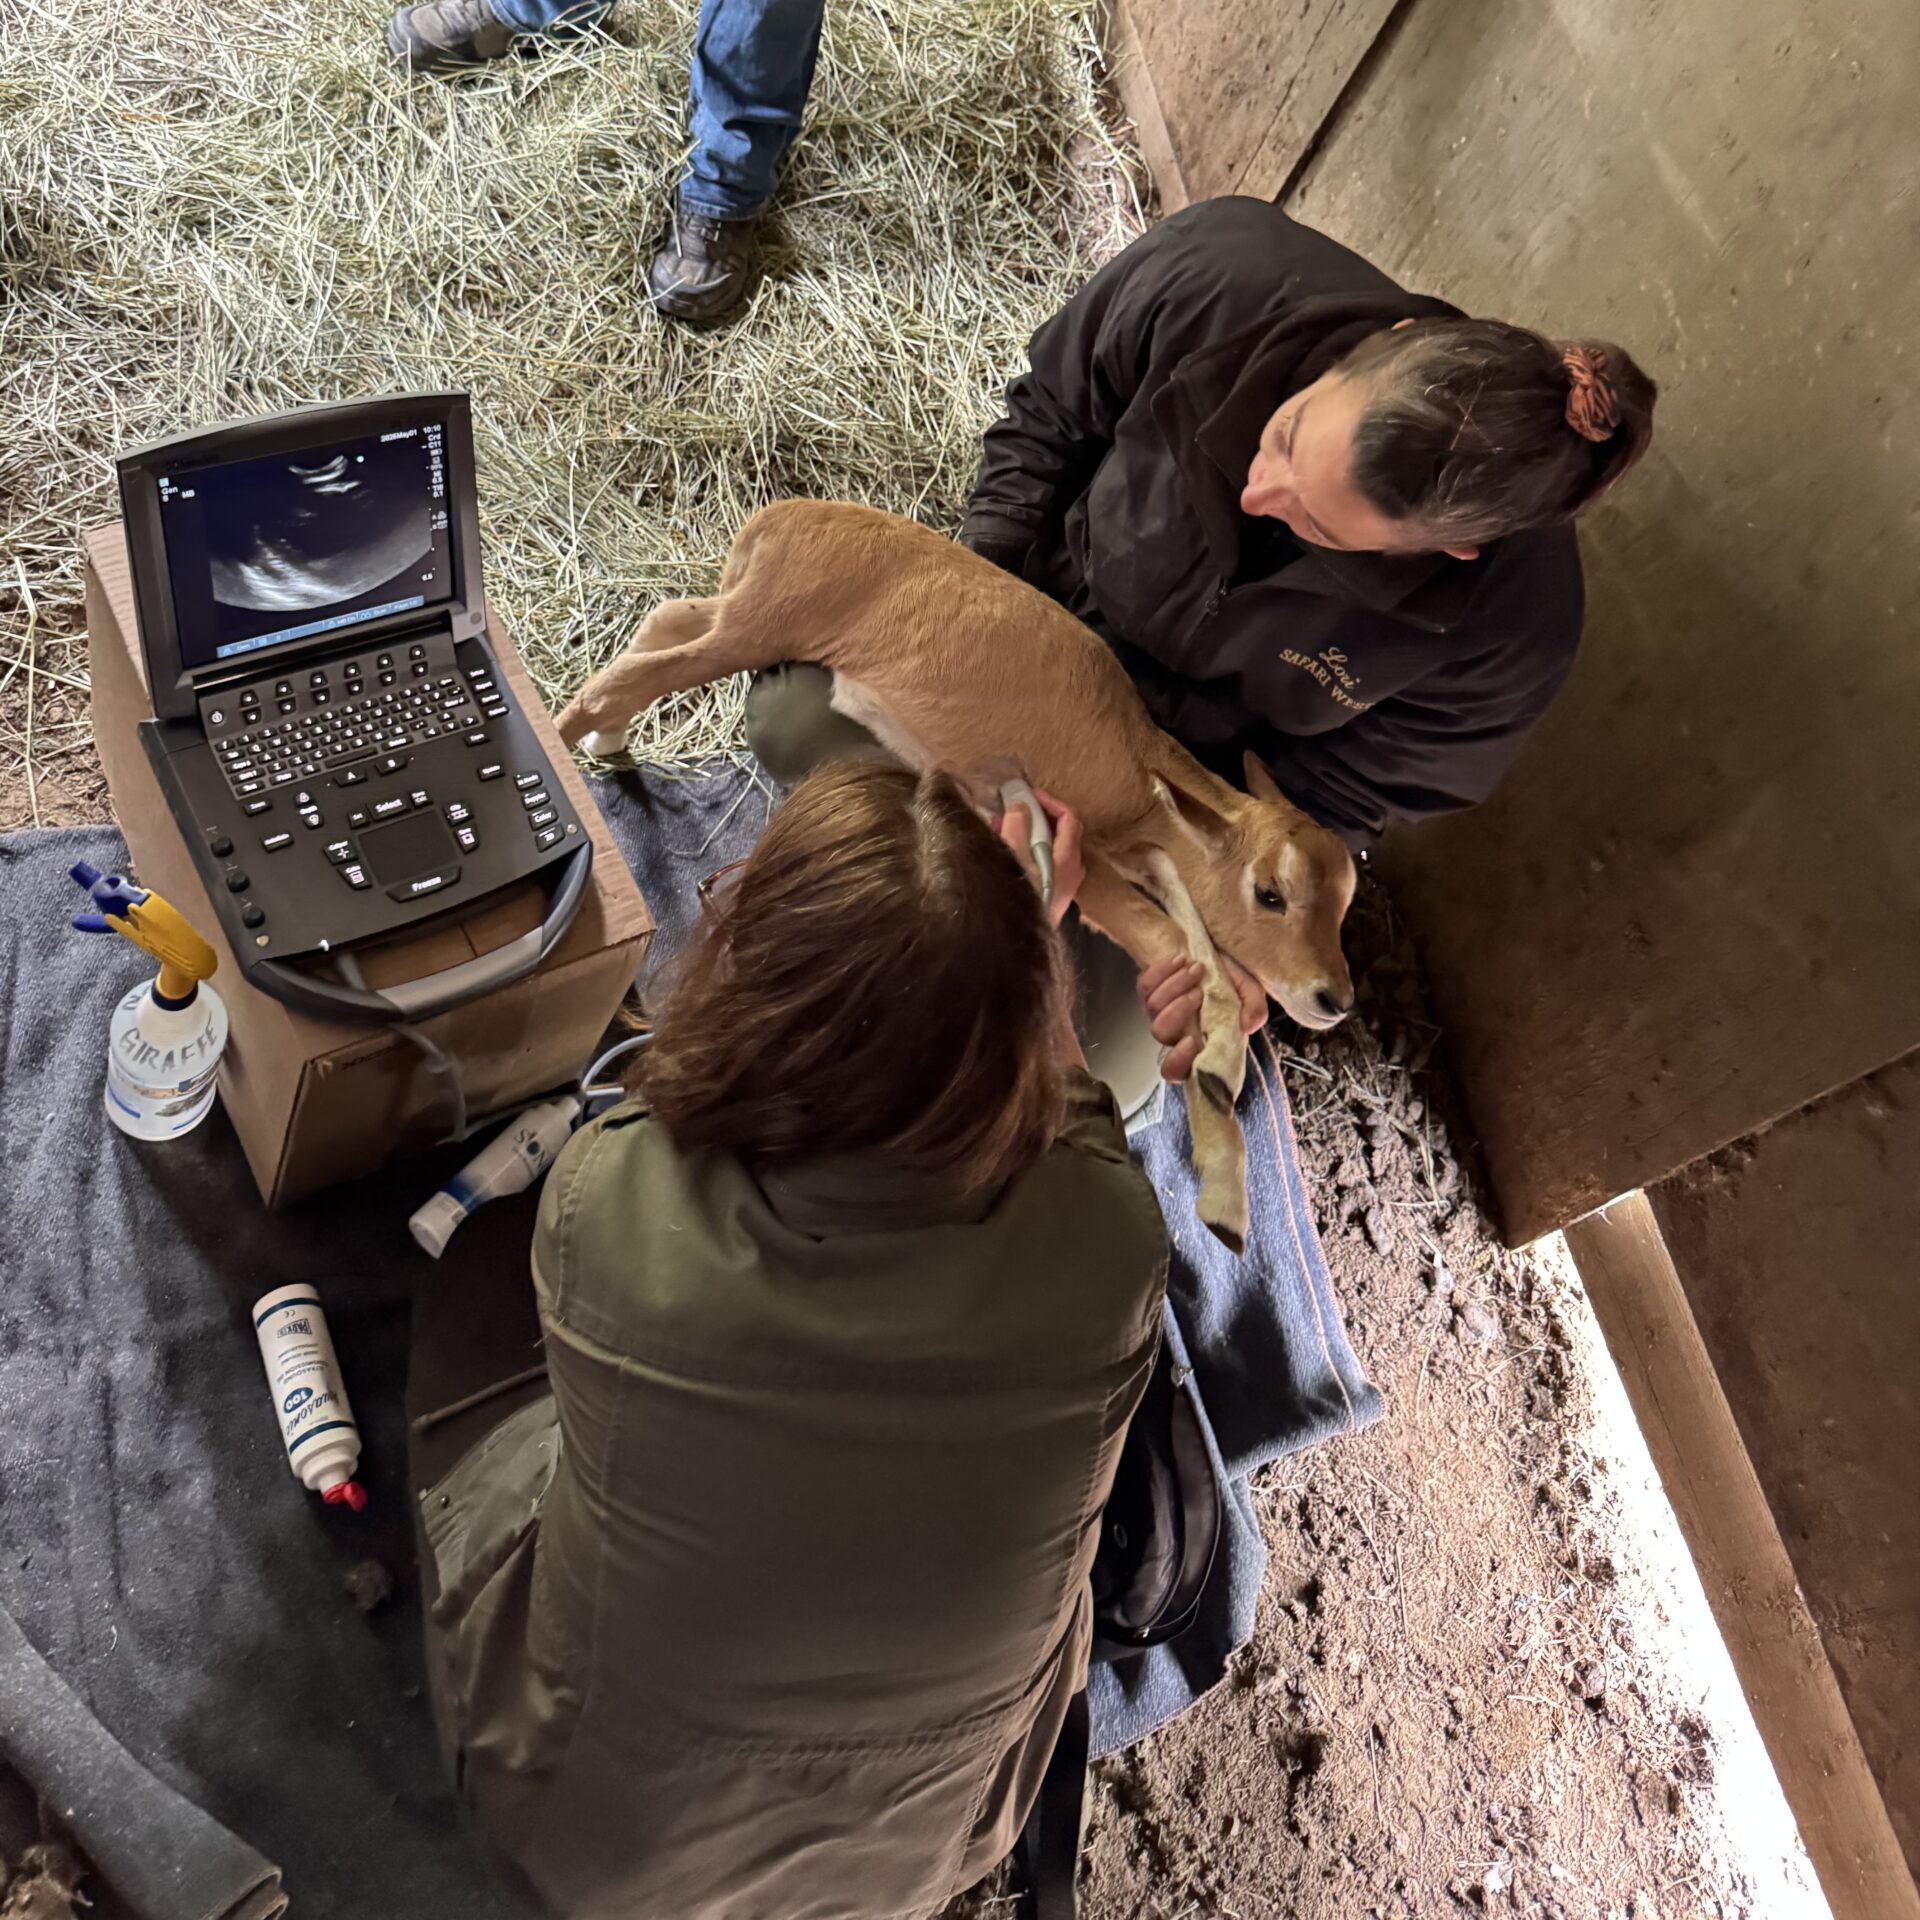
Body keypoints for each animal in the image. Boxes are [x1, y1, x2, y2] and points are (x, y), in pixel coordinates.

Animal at [557, 501, 1356, 1252]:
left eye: (1345, 903)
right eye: (1271, 893)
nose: (1335, 998)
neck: (1134, 772)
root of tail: (782, 515)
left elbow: (1204, 961)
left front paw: (1222, 1158)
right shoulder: (1088, 857)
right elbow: (1177, 948)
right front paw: (1223, 1144)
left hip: (743, 612)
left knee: (668, 619)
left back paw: (607, 741)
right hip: (760, 623)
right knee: (629, 675)